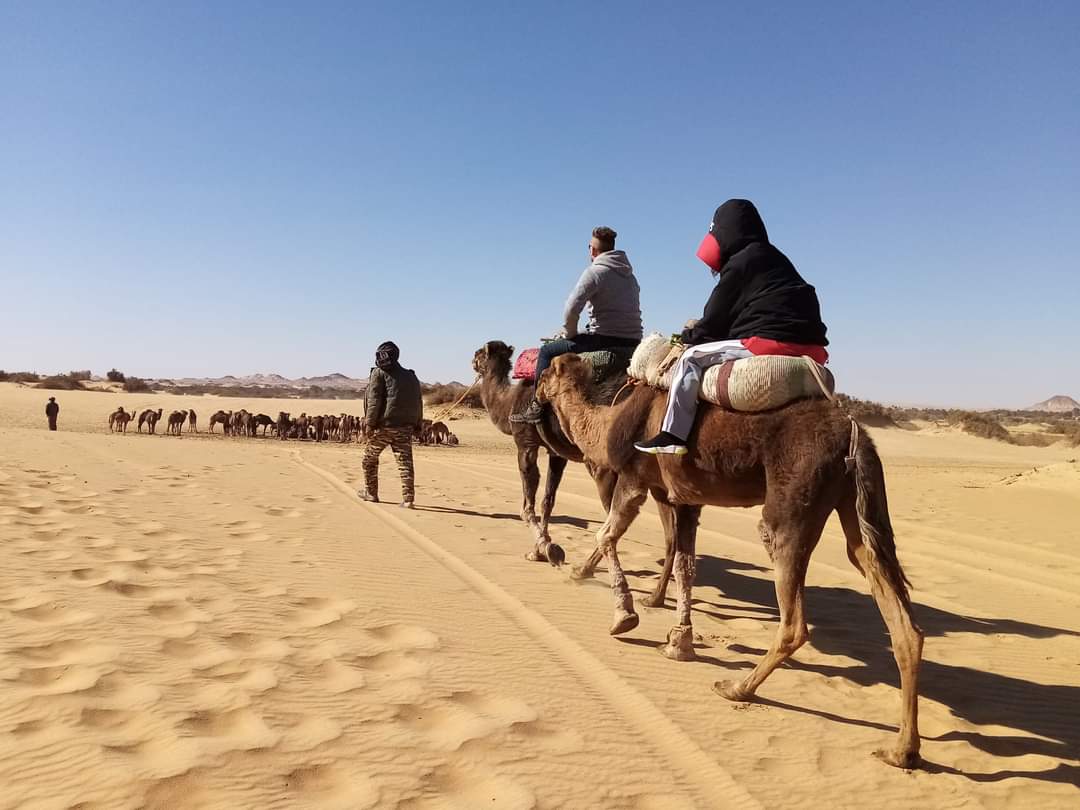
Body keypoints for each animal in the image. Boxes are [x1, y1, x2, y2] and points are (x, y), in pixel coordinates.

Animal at [472, 341, 677, 580]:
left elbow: (527, 506)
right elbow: (547, 501)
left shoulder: (525, 443)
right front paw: (538, 551)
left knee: (614, 514)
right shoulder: (556, 454)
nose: (472, 360)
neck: (509, 403)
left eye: (479, 354)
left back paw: (586, 570)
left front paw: (548, 549)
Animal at [536, 353, 922, 769]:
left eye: (545, 373)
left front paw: (622, 614)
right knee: (891, 602)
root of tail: (853, 432)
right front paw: (678, 641)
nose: (535, 392)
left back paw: (737, 688)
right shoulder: (684, 497)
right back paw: (902, 750)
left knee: (793, 617)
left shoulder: (634, 479)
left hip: (794, 501)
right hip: (854, 503)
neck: (608, 421)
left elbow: (607, 535)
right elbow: (684, 564)